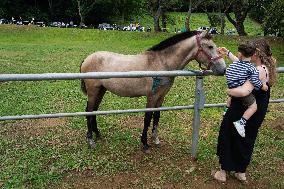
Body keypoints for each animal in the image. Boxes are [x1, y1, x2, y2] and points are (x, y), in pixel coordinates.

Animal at [80, 30, 226, 152]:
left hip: (101, 90)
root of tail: (88, 58)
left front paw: (155, 139)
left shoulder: (161, 96)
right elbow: (148, 117)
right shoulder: (152, 96)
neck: (161, 63)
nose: (223, 69)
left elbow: (156, 116)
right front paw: (144, 143)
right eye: (210, 47)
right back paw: (90, 140)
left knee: (94, 111)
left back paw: (97, 134)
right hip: (93, 91)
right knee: (89, 111)